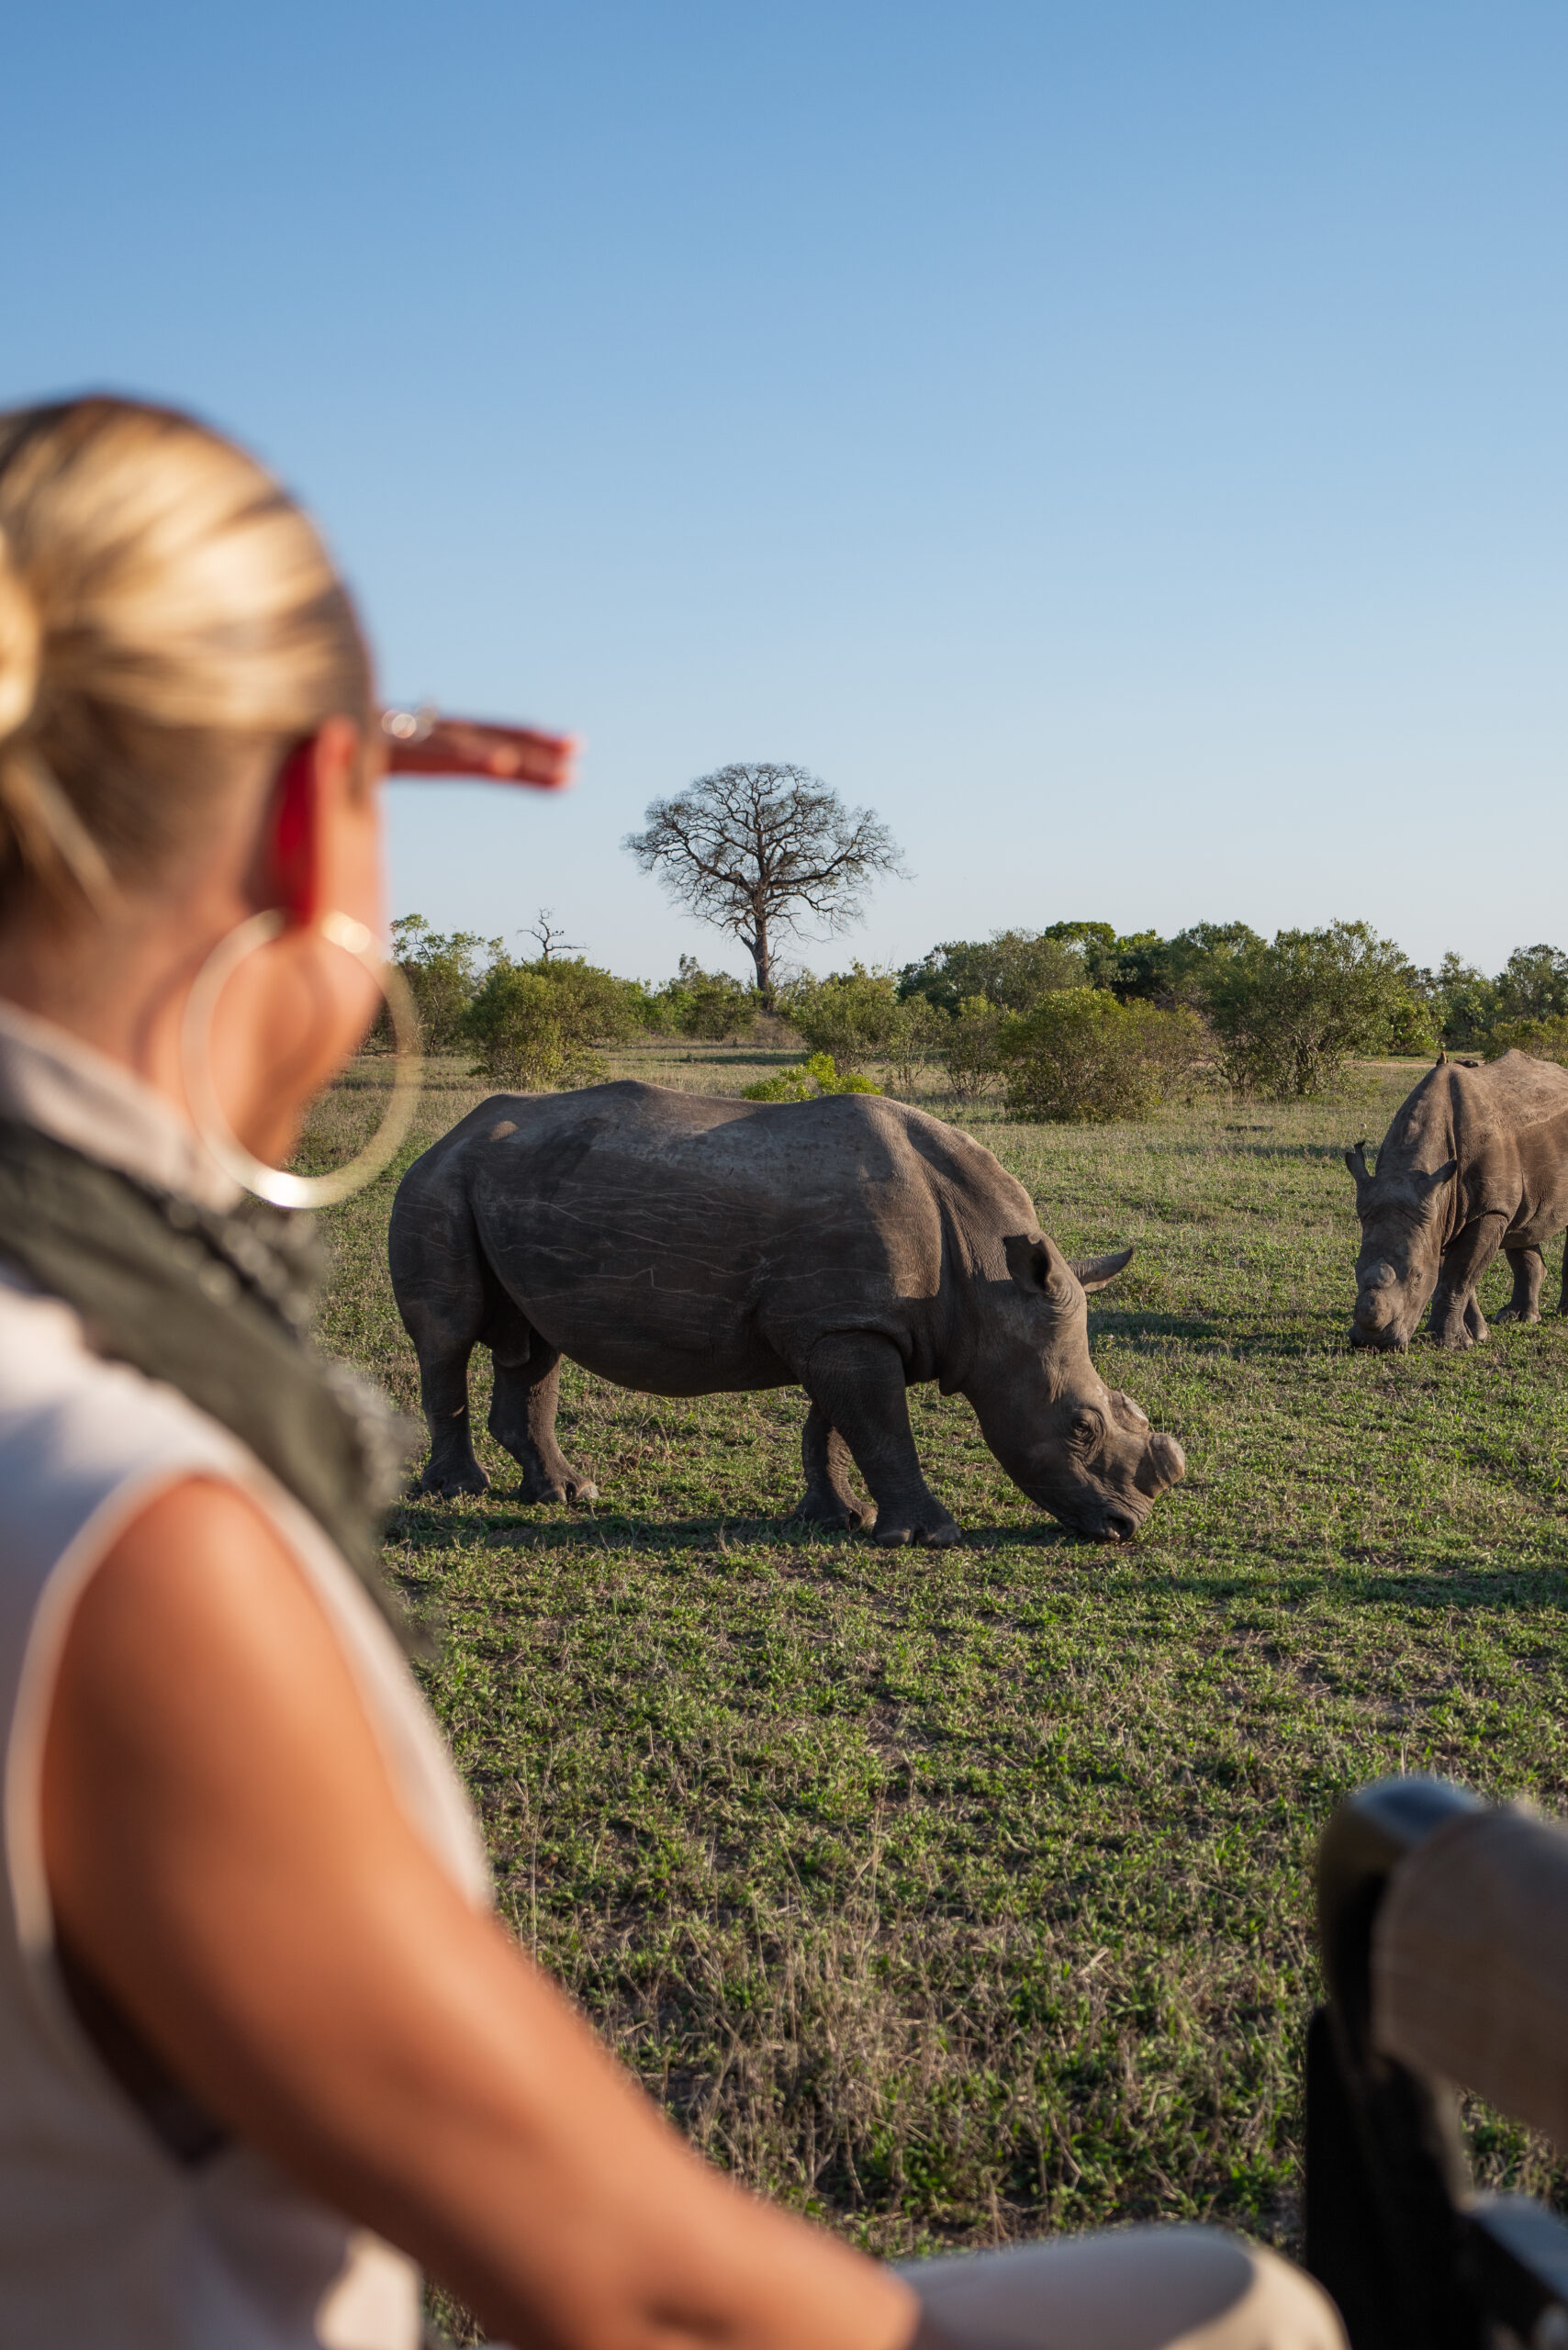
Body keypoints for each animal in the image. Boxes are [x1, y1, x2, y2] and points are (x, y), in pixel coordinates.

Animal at [385, 1076, 1184, 1541]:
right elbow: (880, 1428)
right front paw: (929, 1538)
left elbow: (833, 1427)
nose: (1126, 1526)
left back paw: (566, 1493)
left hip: (518, 1184)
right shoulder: (847, 1327)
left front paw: (840, 1518)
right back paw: (460, 1492)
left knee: (534, 1340)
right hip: (437, 1182)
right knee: (448, 1337)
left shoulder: (841, 1323)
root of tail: (451, 1131)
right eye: (1081, 1427)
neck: (989, 1283)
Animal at [1344, 1052, 1568, 1362]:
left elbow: (1459, 1274)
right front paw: (1477, 1334)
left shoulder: (1485, 1210)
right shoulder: (1436, 1211)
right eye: (1354, 1270)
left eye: (1417, 1277)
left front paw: (1448, 1343)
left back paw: (1560, 1315)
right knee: (1522, 1224)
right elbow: (1454, 1273)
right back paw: (1518, 1318)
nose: (1373, 1344)